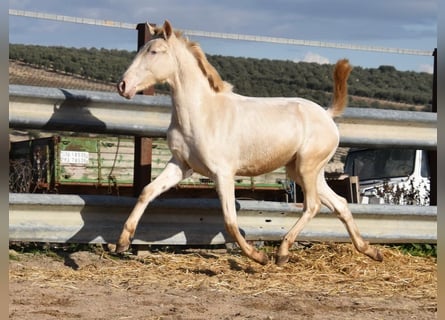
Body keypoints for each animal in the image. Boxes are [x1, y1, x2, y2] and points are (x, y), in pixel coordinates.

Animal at [115, 20, 382, 264]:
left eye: (154, 51)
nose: (123, 85)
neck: (202, 113)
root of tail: (327, 115)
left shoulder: (223, 173)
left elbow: (230, 220)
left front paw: (257, 257)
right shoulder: (181, 165)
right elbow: (147, 191)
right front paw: (122, 242)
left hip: (307, 168)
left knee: (313, 205)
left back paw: (282, 253)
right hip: (302, 171)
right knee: (340, 203)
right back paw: (370, 251)